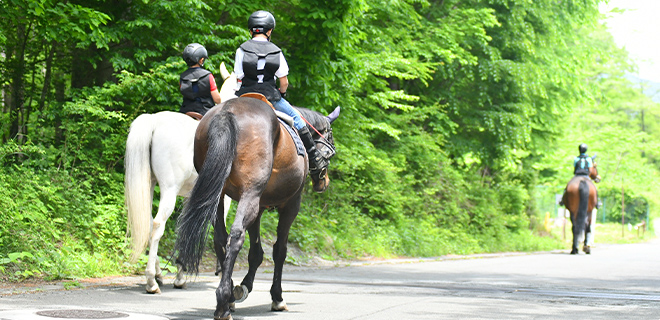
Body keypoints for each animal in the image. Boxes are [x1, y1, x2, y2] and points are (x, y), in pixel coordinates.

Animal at [124, 62, 237, 292]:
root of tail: (154, 121)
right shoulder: (224, 199)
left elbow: (183, 227)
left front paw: (180, 273)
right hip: (169, 189)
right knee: (157, 225)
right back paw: (151, 280)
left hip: (149, 186)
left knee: (148, 223)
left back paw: (158, 273)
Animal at [174, 95, 338, 320]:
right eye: (330, 139)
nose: (324, 182)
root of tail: (227, 111)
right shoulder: (291, 204)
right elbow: (279, 250)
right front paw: (277, 297)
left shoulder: (259, 207)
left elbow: (256, 253)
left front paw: (243, 287)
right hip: (250, 195)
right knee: (236, 236)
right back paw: (223, 301)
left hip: (218, 194)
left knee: (220, 239)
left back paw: (227, 297)